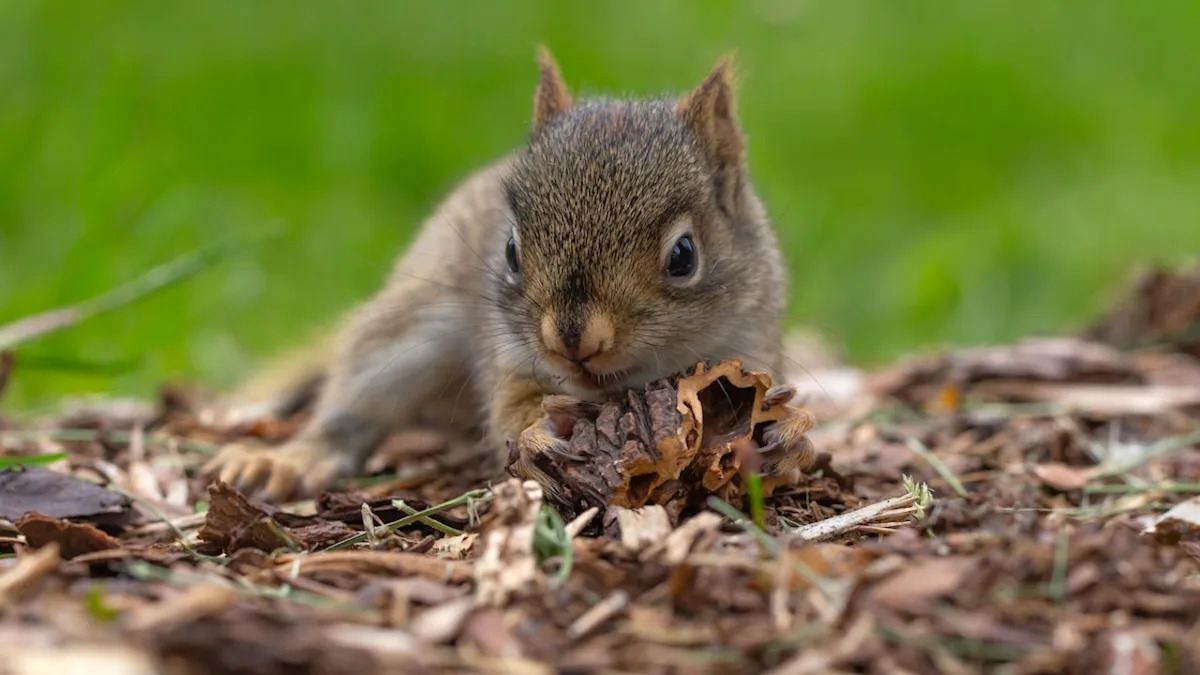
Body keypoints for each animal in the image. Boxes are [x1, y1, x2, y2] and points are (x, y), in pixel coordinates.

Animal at [202, 49, 814, 501]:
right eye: (511, 251)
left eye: (684, 256)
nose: (573, 342)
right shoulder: (510, 357)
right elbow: (509, 413)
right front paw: (536, 434)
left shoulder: (748, 347)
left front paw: (790, 435)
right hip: (406, 329)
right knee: (350, 408)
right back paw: (290, 459)